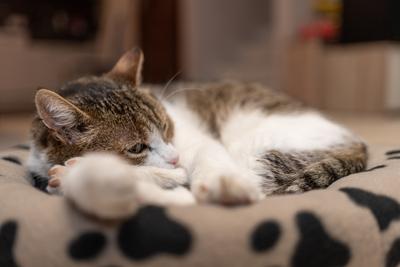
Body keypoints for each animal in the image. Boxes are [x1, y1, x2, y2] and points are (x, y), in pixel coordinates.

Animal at [26, 48, 368, 220]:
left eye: (166, 126)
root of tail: (356, 142)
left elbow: (195, 175)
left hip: (258, 147)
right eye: (136, 147)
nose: (175, 157)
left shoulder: (203, 145)